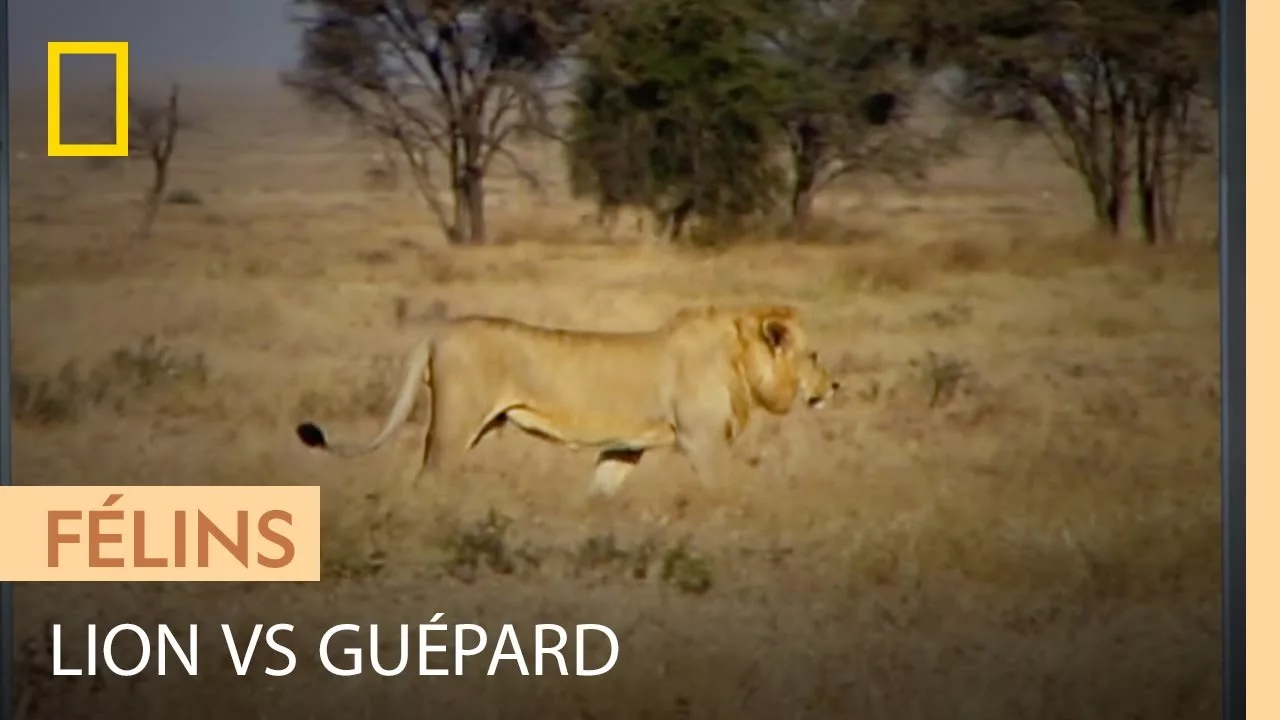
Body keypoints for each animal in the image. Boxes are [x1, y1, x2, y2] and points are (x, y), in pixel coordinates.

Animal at [295, 301, 844, 491]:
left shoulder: (625, 447)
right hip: (454, 425)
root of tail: (437, 332)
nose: (835, 386)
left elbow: (601, 491)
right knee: (427, 478)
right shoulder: (702, 442)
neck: (740, 360)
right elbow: (723, 490)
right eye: (815, 355)